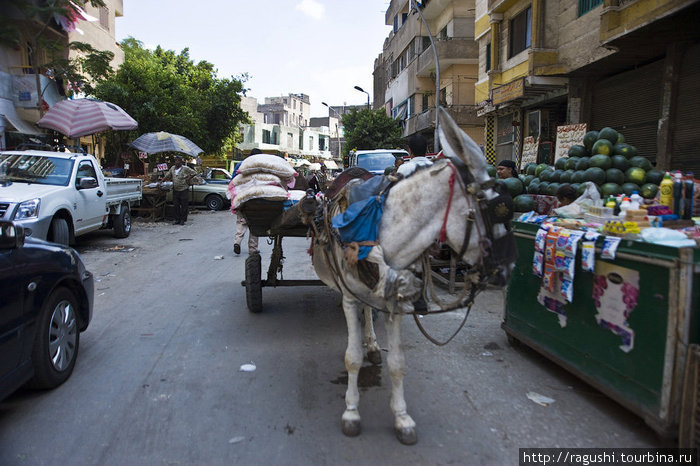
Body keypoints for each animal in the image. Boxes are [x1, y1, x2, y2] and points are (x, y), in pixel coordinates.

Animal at [308, 107, 516, 446]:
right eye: (499, 209)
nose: (509, 269)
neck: (380, 228)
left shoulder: (396, 301)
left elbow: (398, 364)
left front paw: (402, 418)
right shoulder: (350, 298)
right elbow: (351, 358)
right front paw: (351, 412)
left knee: (370, 311)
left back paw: (372, 344)